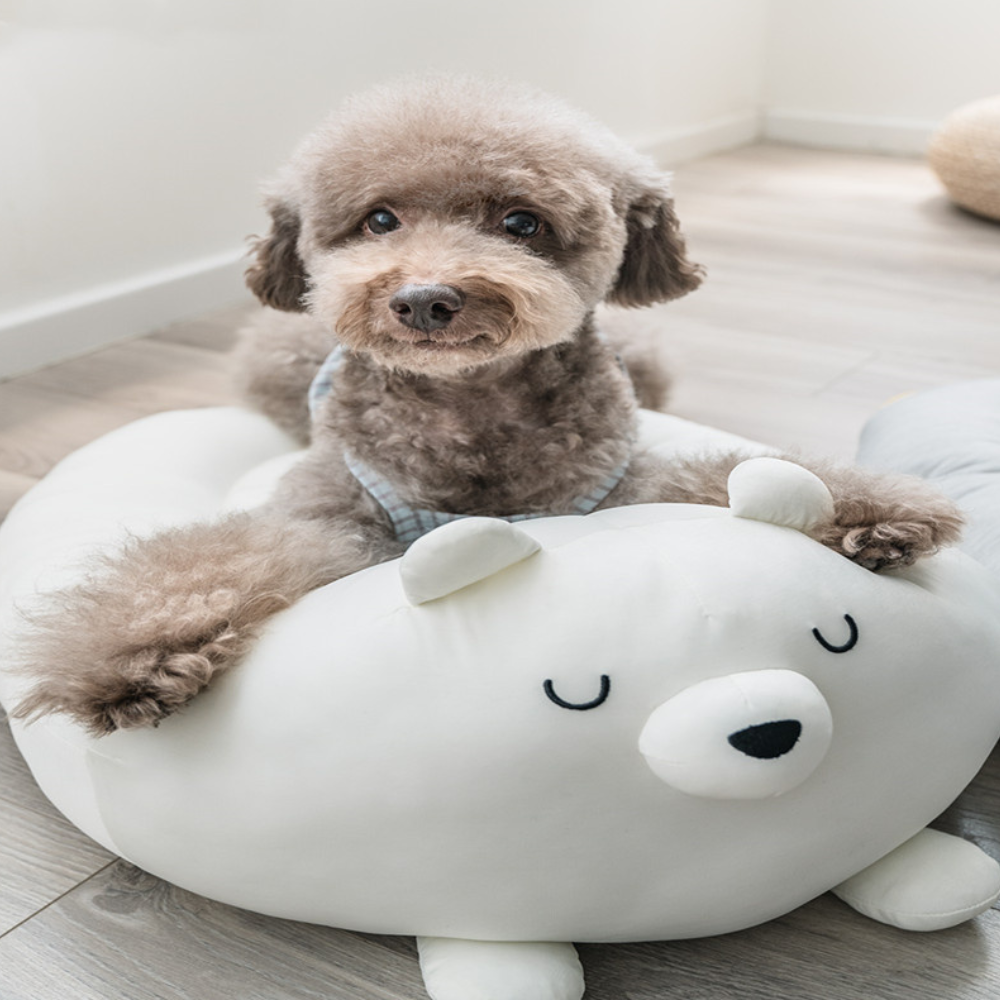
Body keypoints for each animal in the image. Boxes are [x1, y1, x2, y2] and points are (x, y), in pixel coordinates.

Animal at [13, 76, 960, 736]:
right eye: (379, 220)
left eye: (522, 223)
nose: (425, 300)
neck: (469, 408)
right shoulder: (330, 514)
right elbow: (210, 562)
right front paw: (126, 662)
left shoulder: (617, 487)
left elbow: (722, 469)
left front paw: (875, 511)